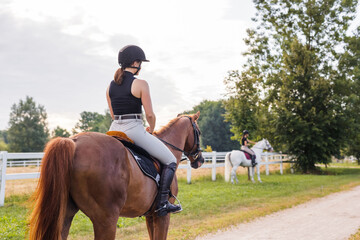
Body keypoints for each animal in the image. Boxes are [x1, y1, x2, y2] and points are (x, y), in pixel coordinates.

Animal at [28, 112, 202, 240]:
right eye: (199, 132)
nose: (200, 160)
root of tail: (75, 142)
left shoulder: (151, 215)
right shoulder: (162, 216)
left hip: (65, 214)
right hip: (106, 220)